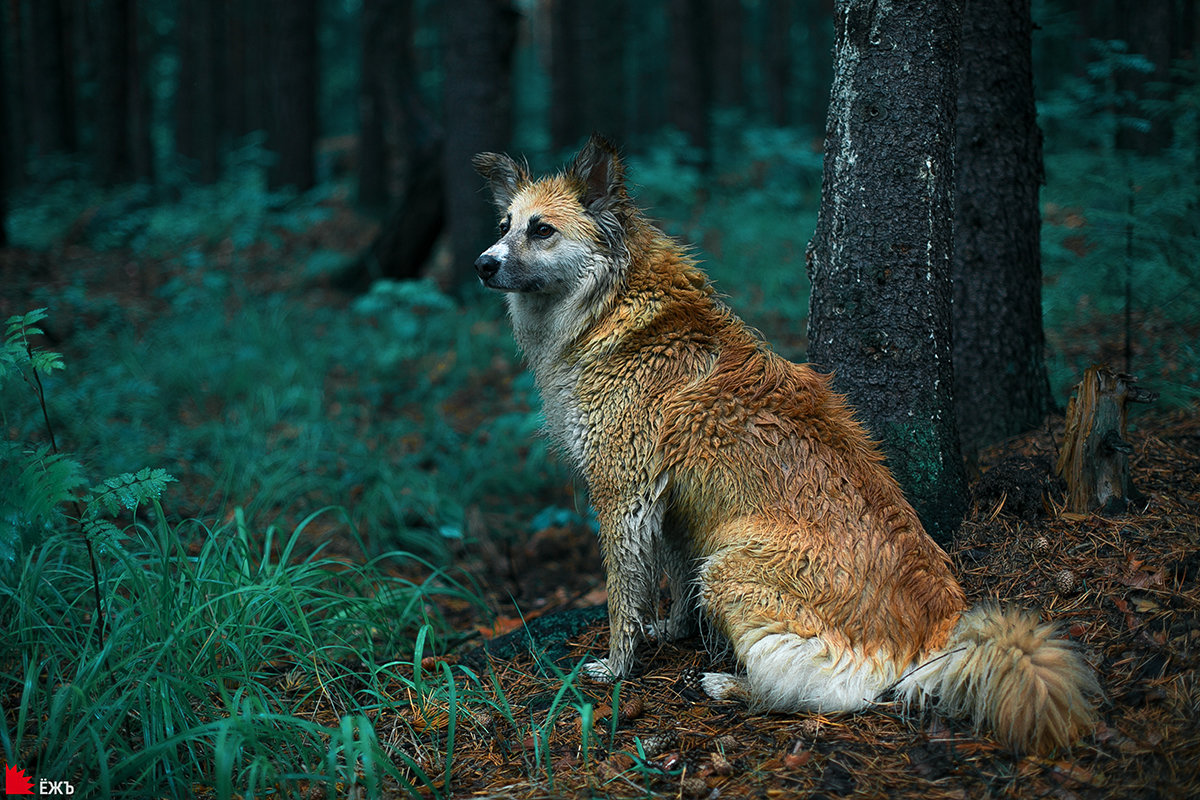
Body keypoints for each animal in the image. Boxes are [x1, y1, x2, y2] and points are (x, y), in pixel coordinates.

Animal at [470, 134, 1099, 753]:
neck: (611, 304)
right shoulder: (671, 504)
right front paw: (672, 630)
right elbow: (671, 574)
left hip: (730, 566)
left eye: (541, 230)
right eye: (504, 224)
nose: (482, 264)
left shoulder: (623, 493)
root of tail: (938, 625)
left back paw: (732, 686)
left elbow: (624, 595)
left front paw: (617, 666)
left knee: (830, 691)